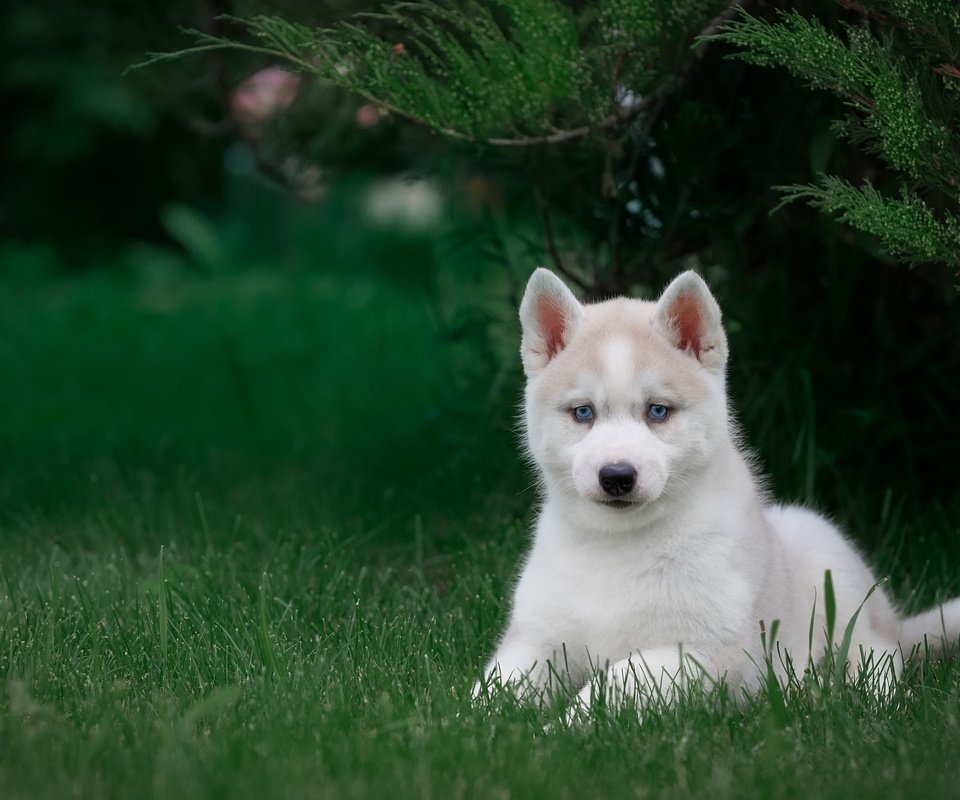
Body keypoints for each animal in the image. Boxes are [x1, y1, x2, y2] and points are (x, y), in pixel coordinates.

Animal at [478, 268, 960, 712]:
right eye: (583, 412)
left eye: (657, 411)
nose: (616, 475)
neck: (618, 545)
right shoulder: (535, 639)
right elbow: (490, 691)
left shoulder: (700, 654)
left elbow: (610, 686)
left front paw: (562, 727)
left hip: (828, 562)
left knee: (878, 658)